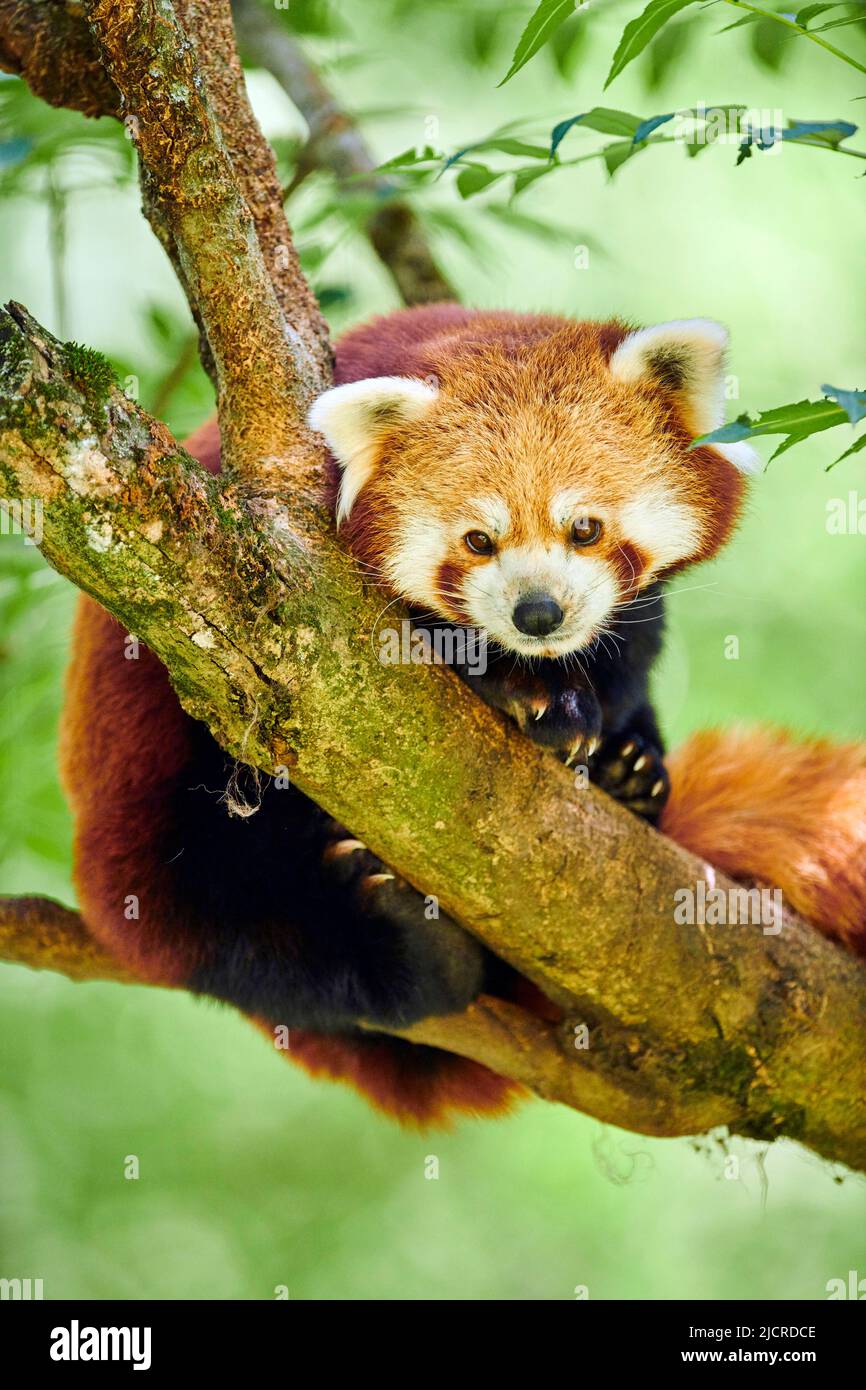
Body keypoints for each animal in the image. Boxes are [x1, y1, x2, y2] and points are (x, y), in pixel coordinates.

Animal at [57, 307, 861, 1128]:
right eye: (479, 540)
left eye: (585, 528)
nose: (537, 614)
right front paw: (523, 690)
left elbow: (630, 652)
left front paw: (609, 744)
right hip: (146, 829)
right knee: (235, 928)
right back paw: (409, 945)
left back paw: (628, 779)